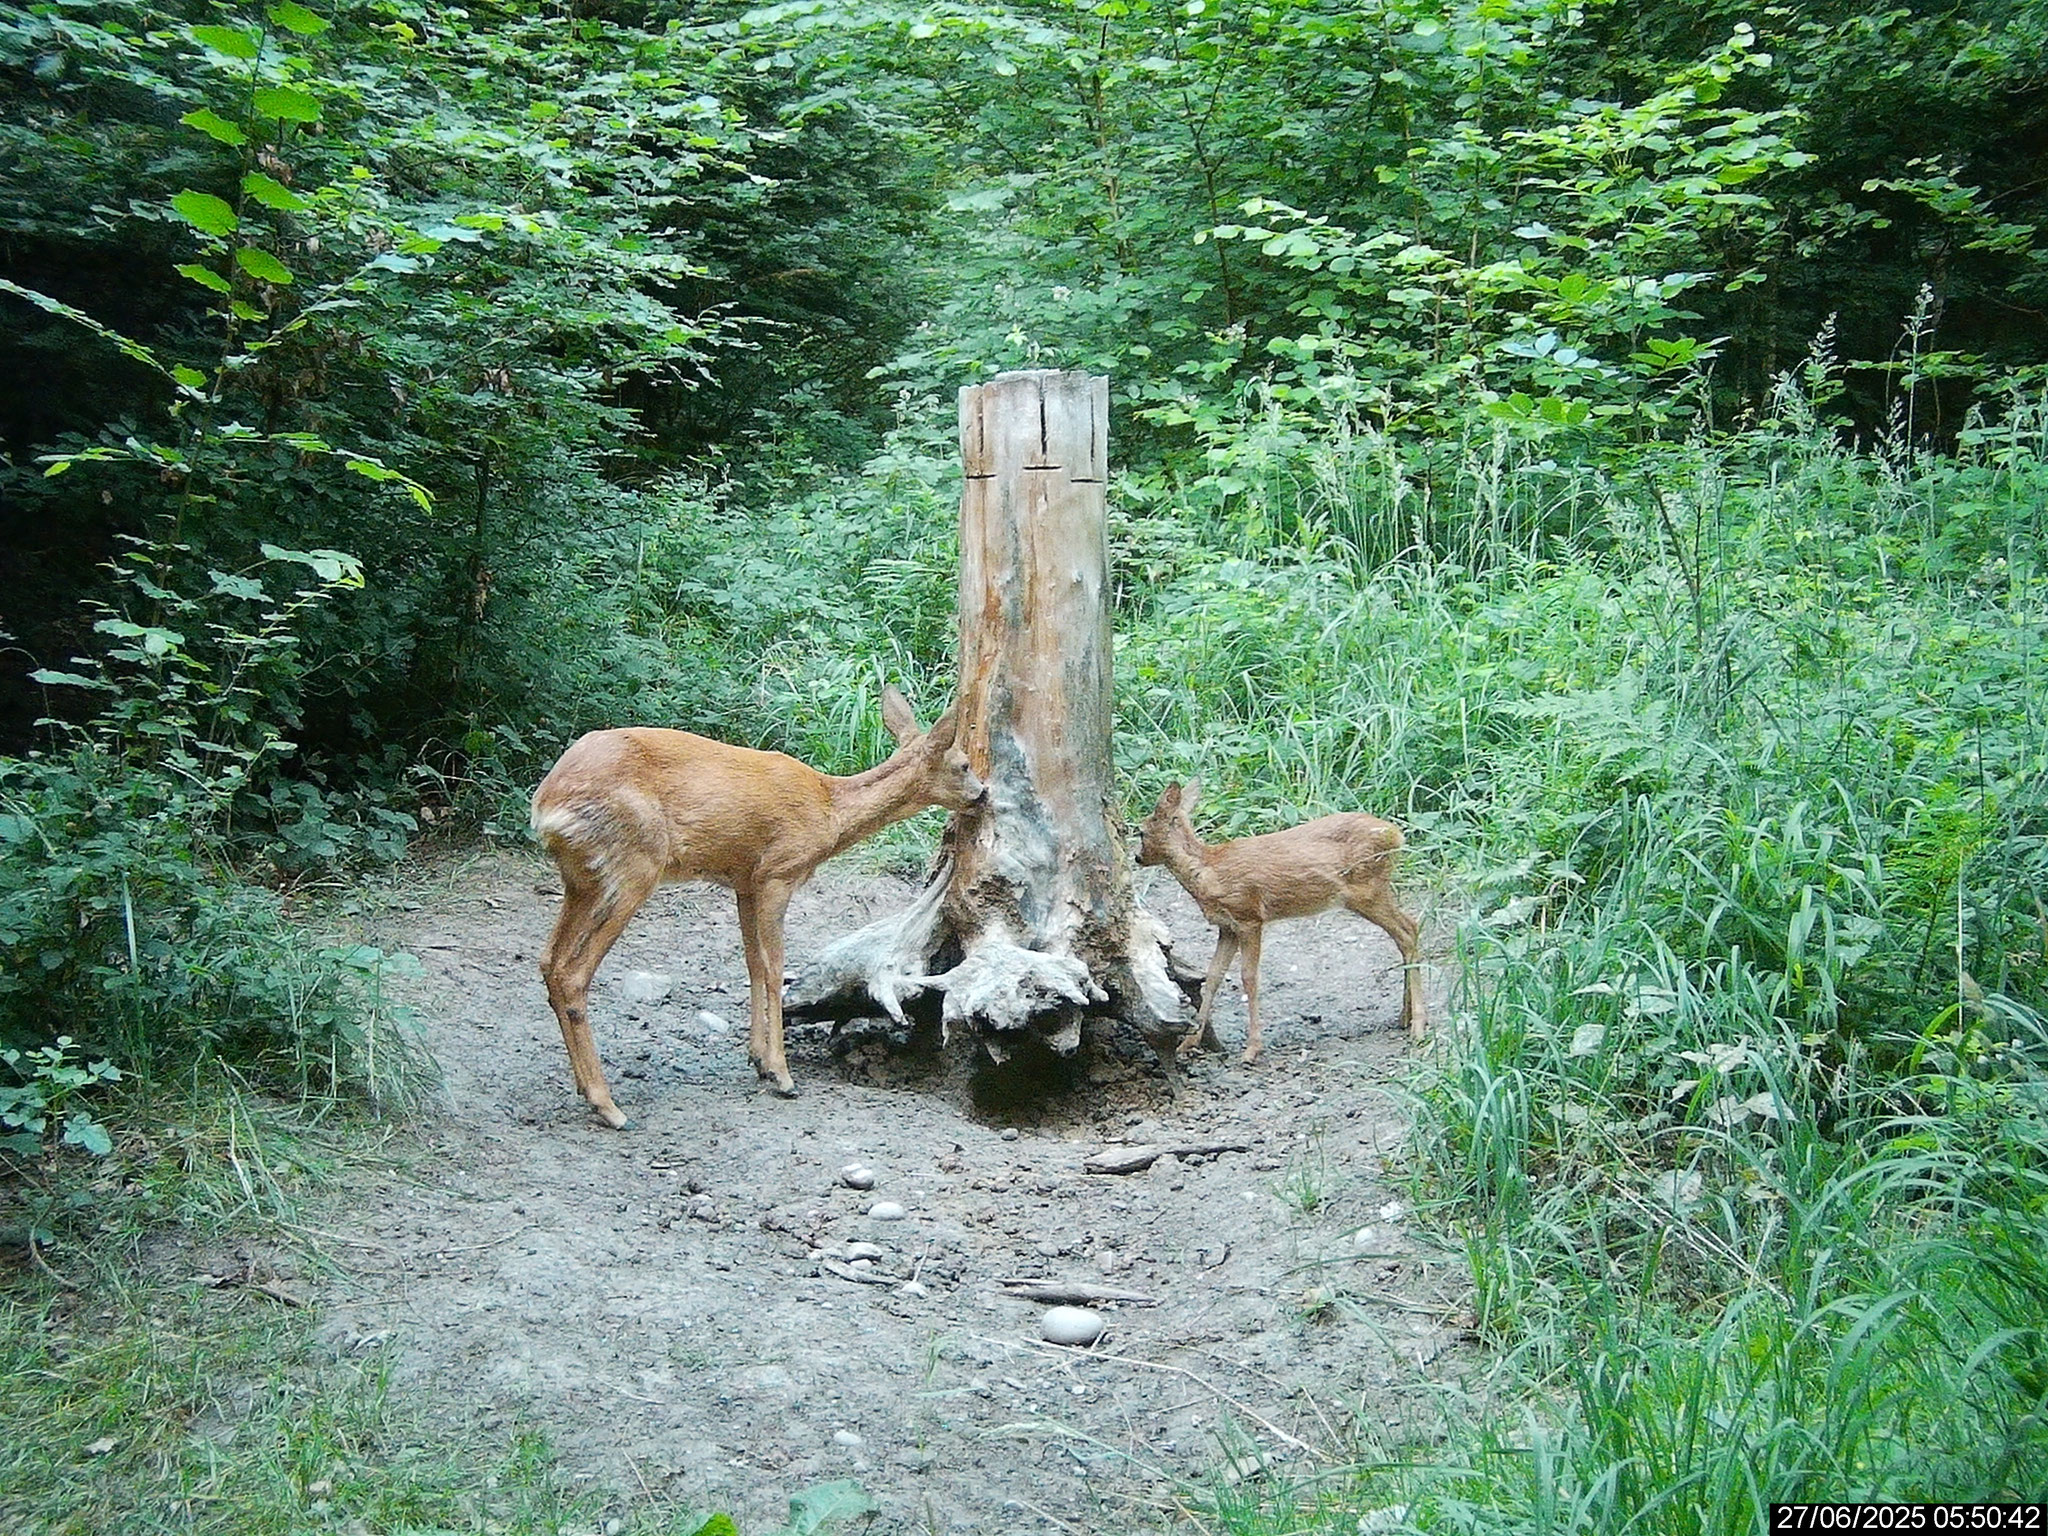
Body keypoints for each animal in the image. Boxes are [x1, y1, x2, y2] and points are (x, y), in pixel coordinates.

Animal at [529, 687, 986, 1127]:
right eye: (964, 765)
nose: (984, 793)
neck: (830, 811)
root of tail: (545, 806)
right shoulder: (777, 874)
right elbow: (774, 968)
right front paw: (782, 1075)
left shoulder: (744, 883)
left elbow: (752, 964)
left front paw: (758, 1060)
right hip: (634, 865)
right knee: (573, 971)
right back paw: (608, 1106)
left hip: (581, 879)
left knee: (549, 960)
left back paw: (585, 1089)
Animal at [1136, 779, 1425, 1064]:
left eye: (1140, 832)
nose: (1138, 858)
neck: (1208, 871)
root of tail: (1397, 834)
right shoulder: (1227, 926)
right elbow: (1214, 976)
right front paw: (1189, 1042)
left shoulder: (1249, 916)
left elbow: (1249, 977)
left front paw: (1252, 1049)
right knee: (1408, 930)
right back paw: (1404, 1017)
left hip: (1367, 891)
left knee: (1408, 930)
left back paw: (1419, 1027)